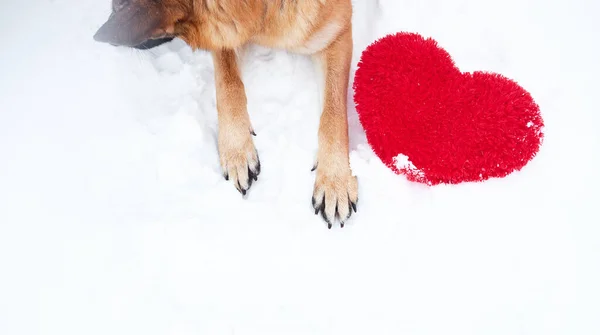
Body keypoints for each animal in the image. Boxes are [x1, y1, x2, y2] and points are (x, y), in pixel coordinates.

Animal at [94, 0, 356, 228]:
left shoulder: (338, 33)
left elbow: (333, 115)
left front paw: (335, 180)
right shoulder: (226, 38)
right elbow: (228, 84)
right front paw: (237, 150)